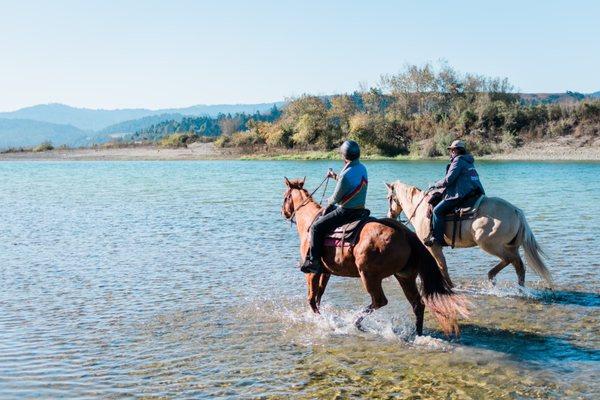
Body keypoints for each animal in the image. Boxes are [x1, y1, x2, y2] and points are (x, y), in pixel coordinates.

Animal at [282, 177, 468, 336]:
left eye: (285, 197)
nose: (284, 212)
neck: (310, 223)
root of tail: (406, 234)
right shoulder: (325, 272)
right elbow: (319, 295)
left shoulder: (312, 272)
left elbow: (312, 299)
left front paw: (321, 320)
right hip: (405, 276)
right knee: (417, 303)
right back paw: (418, 333)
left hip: (369, 276)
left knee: (379, 301)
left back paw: (355, 322)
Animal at [386, 181, 552, 288]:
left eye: (389, 198)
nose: (390, 215)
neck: (421, 209)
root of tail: (516, 211)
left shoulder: (433, 246)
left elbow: (442, 265)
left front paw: (449, 285)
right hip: (510, 246)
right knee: (518, 265)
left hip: (489, 244)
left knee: (512, 260)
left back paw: (494, 277)